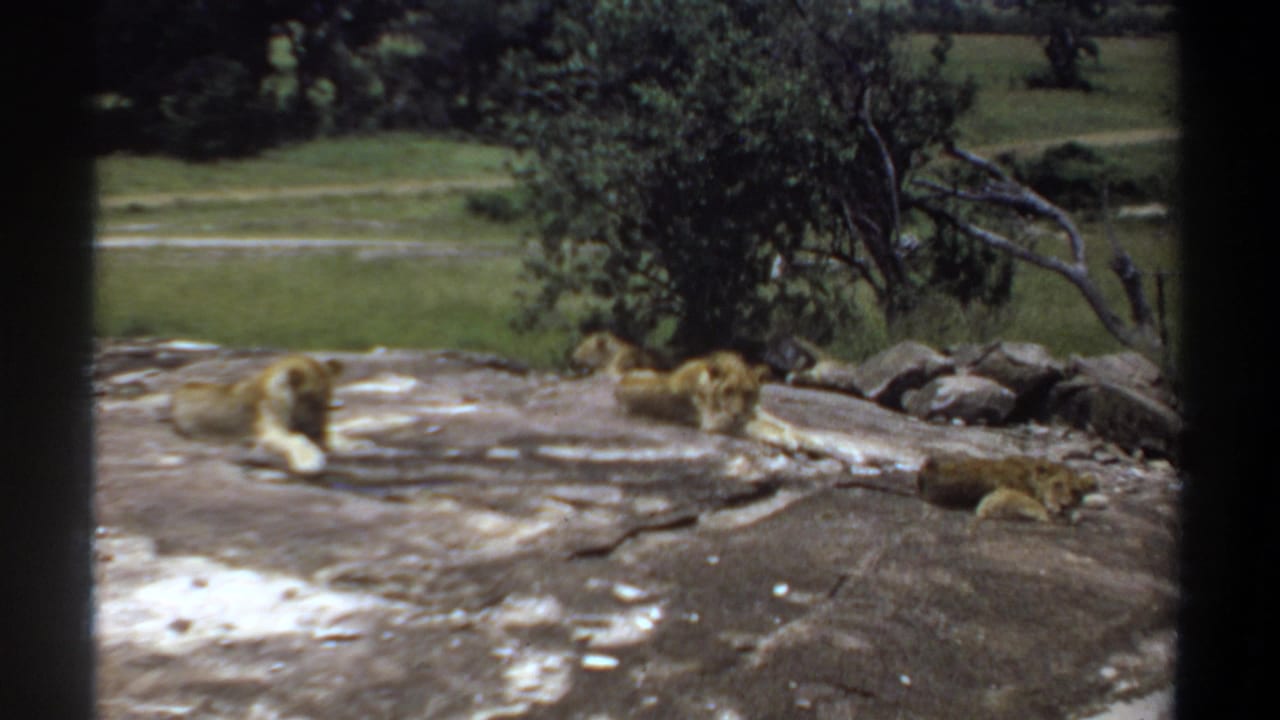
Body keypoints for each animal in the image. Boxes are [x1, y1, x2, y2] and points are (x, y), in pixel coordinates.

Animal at [169, 354, 345, 475]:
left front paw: (341, 443)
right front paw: (309, 461)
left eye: (326, 403)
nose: (317, 434)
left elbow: (331, 434)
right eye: (311, 400)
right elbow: (295, 439)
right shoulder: (270, 431)